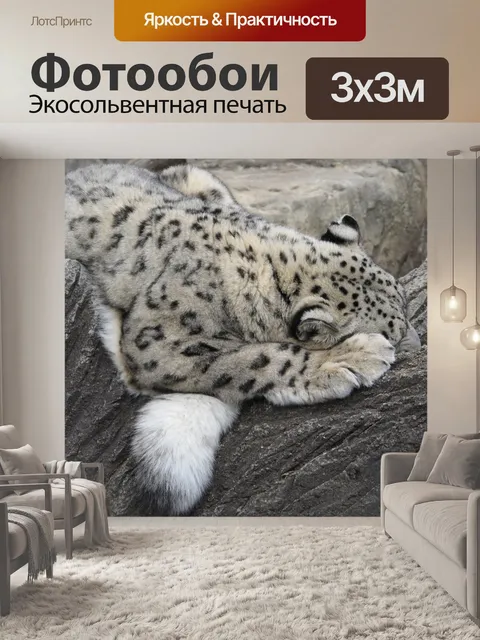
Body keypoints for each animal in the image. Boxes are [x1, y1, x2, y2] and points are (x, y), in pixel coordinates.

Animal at [65, 162, 420, 515]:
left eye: (404, 304)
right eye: (390, 333)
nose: (417, 343)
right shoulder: (156, 347)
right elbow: (255, 359)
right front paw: (350, 358)